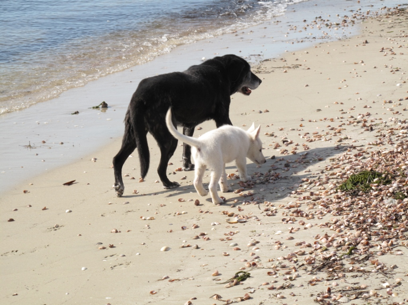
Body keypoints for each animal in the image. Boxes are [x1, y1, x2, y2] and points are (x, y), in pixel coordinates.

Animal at [113, 54, 262, 196]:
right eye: (247, 71)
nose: (260, 81)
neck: (223, 71)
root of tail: (139, 95)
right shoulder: (222, 117)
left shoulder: (189, 126)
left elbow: (186, 148)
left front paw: (187, 165)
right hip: (167, 139)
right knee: (160, 167)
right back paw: (168, 183)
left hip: (133, 136)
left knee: (117, 159)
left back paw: (119, 186)